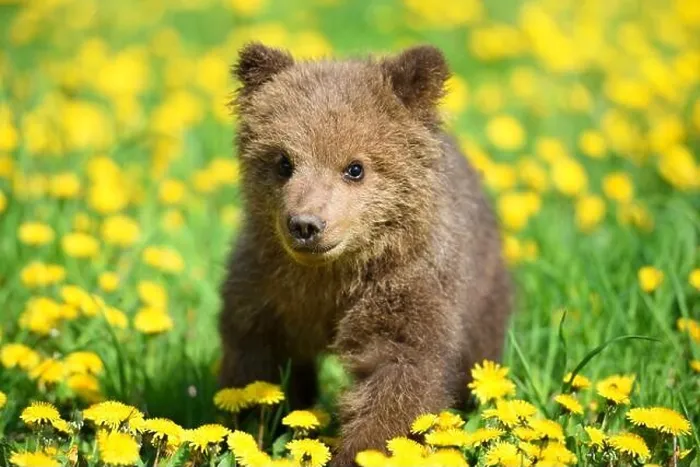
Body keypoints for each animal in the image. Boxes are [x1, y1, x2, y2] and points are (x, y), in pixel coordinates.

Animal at [218, 42, 512, 465]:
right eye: (283, 161)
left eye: (355, 168)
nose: (306, 224)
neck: (332, 277)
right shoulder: (267, 290)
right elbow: (259, 367)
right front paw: (254, 426)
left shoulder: (403, 286)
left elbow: (398, 374)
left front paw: (359, 450)